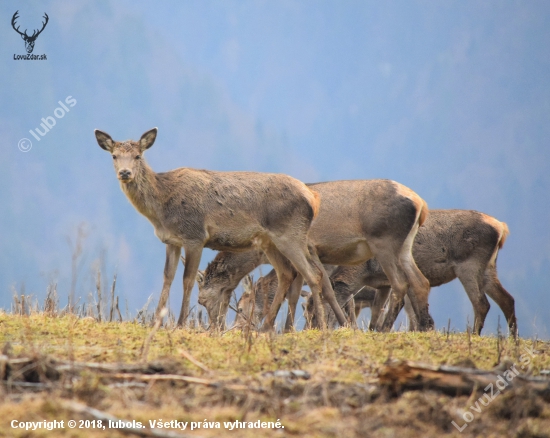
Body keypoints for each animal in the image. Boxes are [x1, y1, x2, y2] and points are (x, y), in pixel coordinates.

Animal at [92, 128, 348, 326]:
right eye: (114, 156)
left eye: (137, 156)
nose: (125, 173)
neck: (162, 210)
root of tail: (313, 197)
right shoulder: (171, 241)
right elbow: (167, 278)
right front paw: (156, 322)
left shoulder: (195, 236)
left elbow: (187, 280)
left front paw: (180, 323)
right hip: (271, 242)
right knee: (288, 274)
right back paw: (267, 328)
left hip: (290, 235)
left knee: (312, 275)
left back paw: (319, 327)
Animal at [198, 178, 436, 332]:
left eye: (239, 307)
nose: (217, 328)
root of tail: (421, 204)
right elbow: (299, 293)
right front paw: (291, 329)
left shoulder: (312, 249)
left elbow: (323, 289)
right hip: (403, 248)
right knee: (420, 282)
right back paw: (425, 326)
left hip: (384, 243)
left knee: (400, 283)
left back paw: (385, 329)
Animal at [302, 210, 516, 338]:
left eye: (314, 311)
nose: (309, 330)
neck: (363, 272)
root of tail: (501, 229)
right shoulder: (383, 284)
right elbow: (379, 310)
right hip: (488, 269)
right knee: (507, 299)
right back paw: (512, 338)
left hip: (469, 266)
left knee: (481, 303)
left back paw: (473, 335)